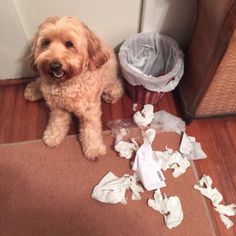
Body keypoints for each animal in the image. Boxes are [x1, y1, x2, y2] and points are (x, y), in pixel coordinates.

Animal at [23, 16, 123, 160]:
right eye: (46, 43)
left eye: (69, 44)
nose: (54, 65)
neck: (67, 84)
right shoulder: (57, 107)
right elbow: (56, 122)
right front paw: (52, 136)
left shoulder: (89, 111)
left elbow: (91, 130)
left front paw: (94, 149)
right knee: (40, 80)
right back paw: (33, 90)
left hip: (111, 86)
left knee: (116, 88)